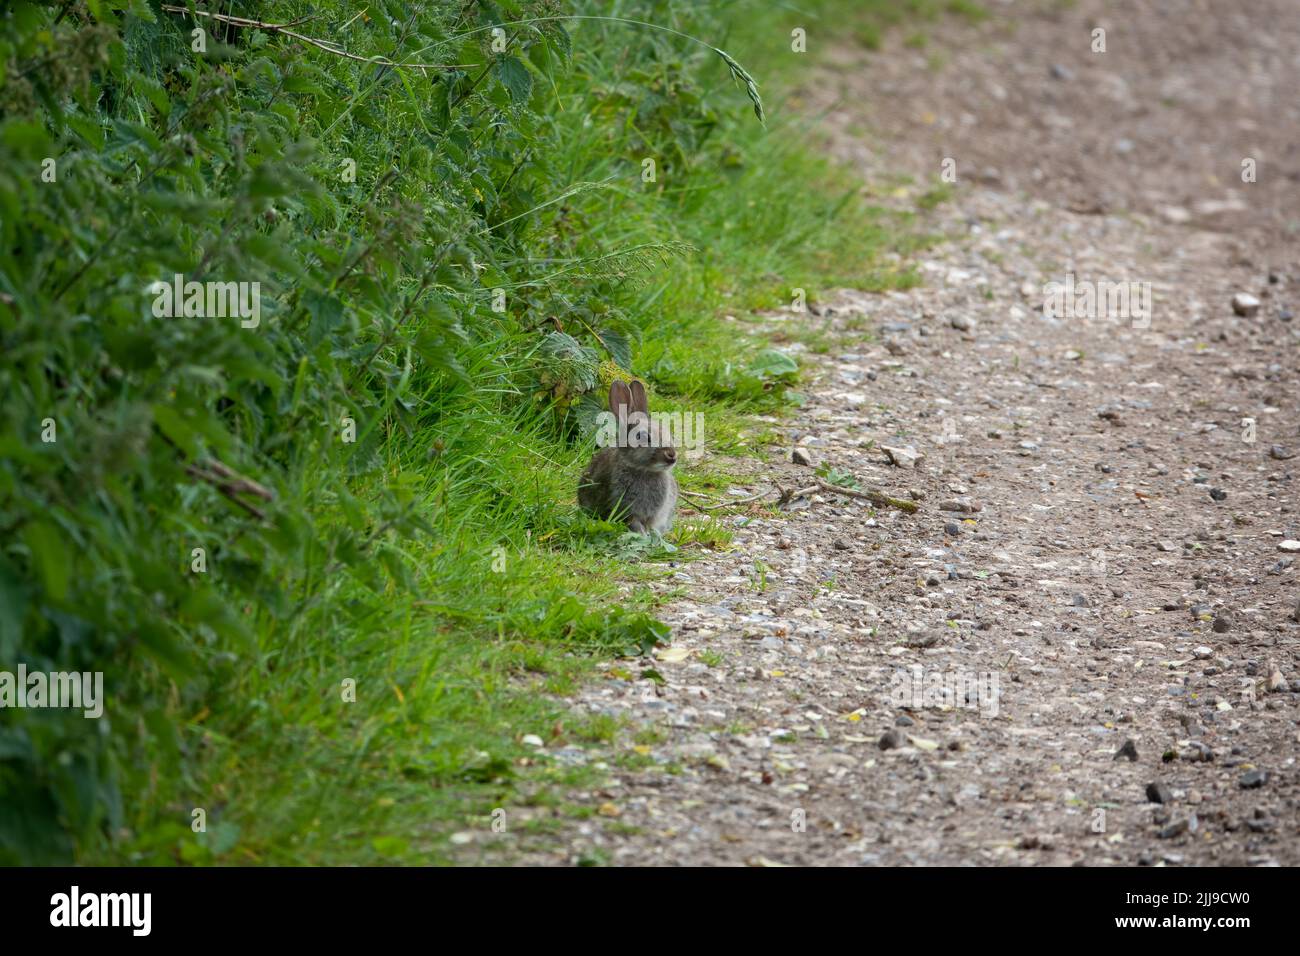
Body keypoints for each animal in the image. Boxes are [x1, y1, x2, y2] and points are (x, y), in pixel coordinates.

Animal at [578, 379, 678, 534]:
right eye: (642, 436)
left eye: (668, 432)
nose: (671, 455)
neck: (643, 470)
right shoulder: (626, 510)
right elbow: (634, 522)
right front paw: (642, 534)